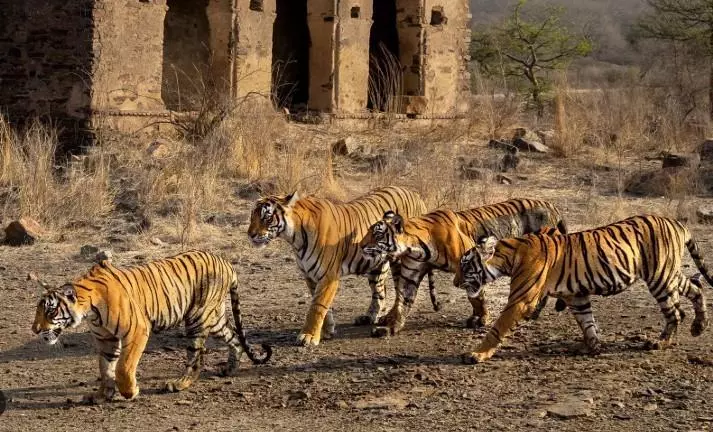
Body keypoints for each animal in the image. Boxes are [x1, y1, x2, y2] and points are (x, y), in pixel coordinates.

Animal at [31, 250, 272, 403]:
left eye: (50, 311)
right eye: (38, 310)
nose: (35, 330)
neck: (89, 310)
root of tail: (225, 262)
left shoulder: (136, 330)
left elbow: (123, 367)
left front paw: (130, 392)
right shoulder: (106, 340)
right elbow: (105, 369)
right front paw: (101, 395)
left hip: (197, 318)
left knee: (196, 357)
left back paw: (179, 384)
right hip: (214, 318)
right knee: (234, 337)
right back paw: (230, 368)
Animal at [247, 186, 439, 347]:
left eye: (267, 217)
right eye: (252, 216)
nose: (250, 234)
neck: (295, 239)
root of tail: (415, 194)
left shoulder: (328, 276)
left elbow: (317, 307)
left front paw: (308, 336)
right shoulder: (310, 276)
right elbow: (323, 306)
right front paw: (326, 331)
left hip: (399, 262)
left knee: (401, 292)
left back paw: (389, 318)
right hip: (376, 267)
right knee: (379, 292)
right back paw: (369, 317)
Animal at [359, 198, 568, 337]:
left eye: (377, 235)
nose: (360, 245)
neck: (416, 246)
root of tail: (552, 205)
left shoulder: (472, 265)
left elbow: (476, 296)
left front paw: (482, 319)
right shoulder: (411, 273)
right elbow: (403, 299)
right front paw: (391, 326)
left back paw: (534, 312)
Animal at [454, 215, 711, 364]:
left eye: (465, 266)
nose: (455, 283)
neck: (510, 256)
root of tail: (676, 222)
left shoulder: (520, 300)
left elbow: (497, 328)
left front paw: (476, 353)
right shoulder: (575, 296)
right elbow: (587, 322)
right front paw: (593, 346)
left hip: (660, 276)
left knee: (675, 312)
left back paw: (661, 342)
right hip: (669, 273)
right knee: (696, 287)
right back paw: (699, 326)